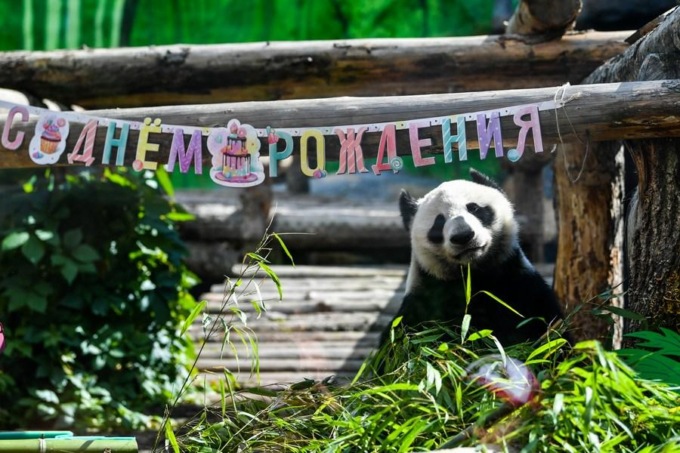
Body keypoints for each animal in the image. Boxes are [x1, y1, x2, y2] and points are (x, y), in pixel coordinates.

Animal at [381, 169, 566, 349]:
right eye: (439, 222)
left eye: (474, 208)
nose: (463, 236)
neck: (474, 273)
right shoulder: (426, 299)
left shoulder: (519, 284)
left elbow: (550, 328)